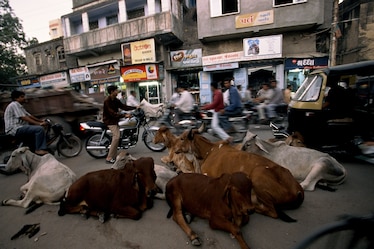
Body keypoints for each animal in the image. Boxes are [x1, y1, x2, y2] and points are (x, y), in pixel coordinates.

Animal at [175, 128, 304, 222]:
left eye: (182, 138)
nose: (174, 149)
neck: (208, 151)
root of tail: (298, 189)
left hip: (257, 175)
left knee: (273, 212)